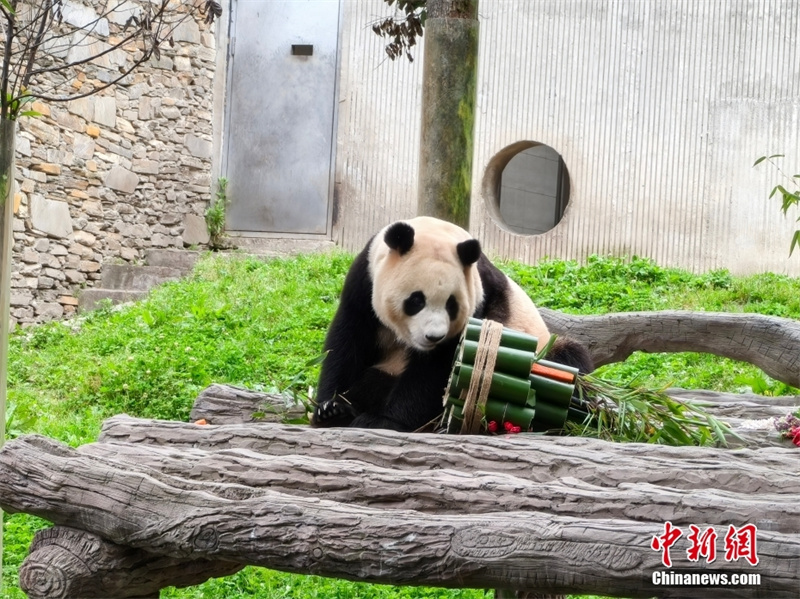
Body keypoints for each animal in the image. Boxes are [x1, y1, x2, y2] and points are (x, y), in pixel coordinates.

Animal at [311, 216, 593, 432]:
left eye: (451, 304)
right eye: (416, 300)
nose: (433, 337)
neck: (437, 230)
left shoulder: (477, 302)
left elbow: (434, 373)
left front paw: (383, 421)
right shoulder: (364, 281)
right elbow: (347, 341)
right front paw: (329, 407)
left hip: (545, 351)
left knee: (572, 364)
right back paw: (344, 412)